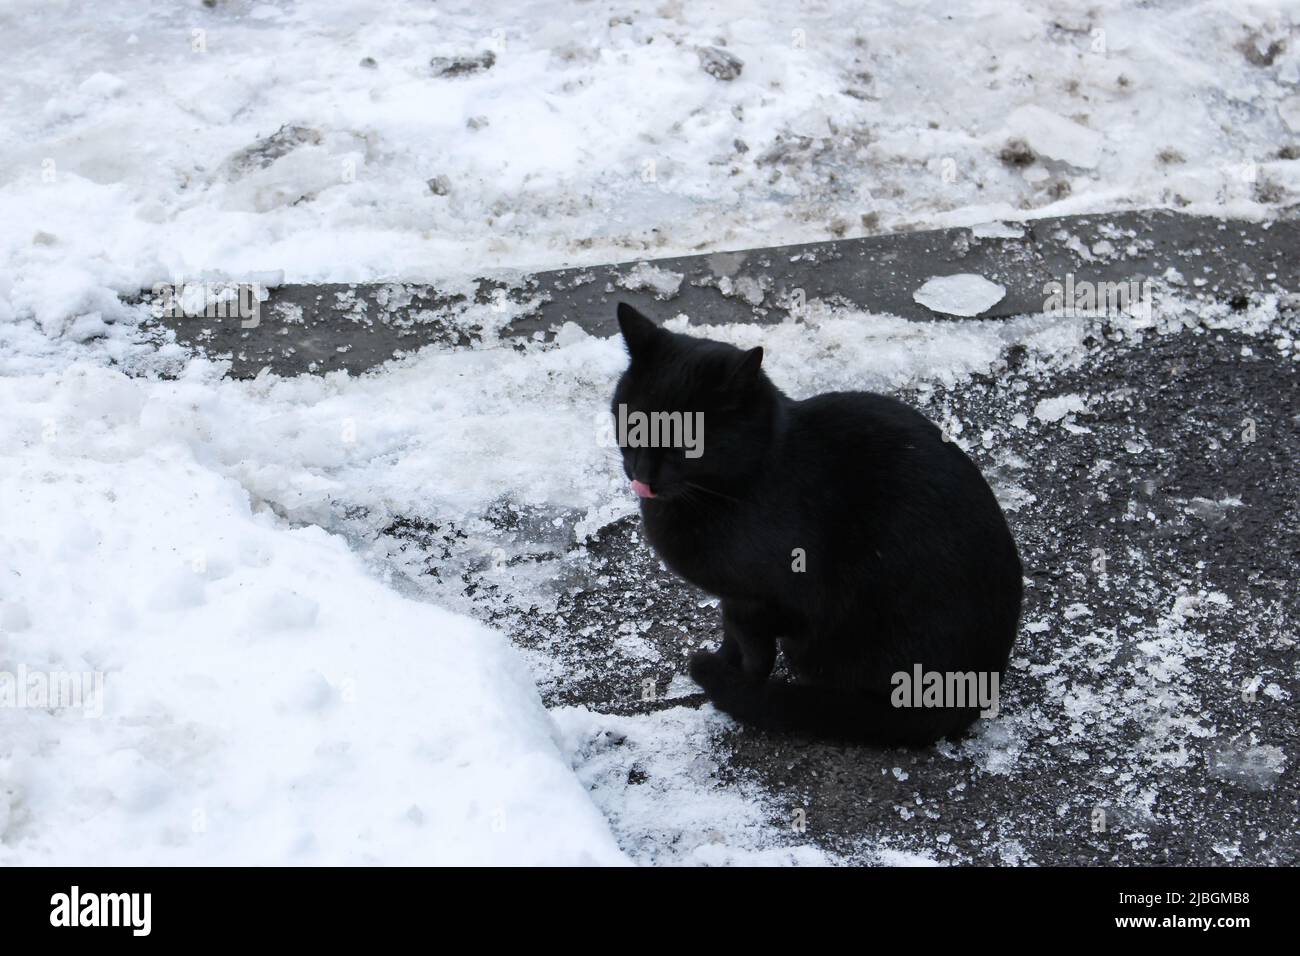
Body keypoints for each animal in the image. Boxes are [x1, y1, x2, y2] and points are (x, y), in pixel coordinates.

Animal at [611, 303, 1024, 743]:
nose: (642, 473)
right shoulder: (733, 596)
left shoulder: (757, 600)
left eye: (686, 443)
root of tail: (972, 692)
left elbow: (754, 653)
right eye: (635, 423)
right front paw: (721, 662)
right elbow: (729, 635)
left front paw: (734, 685)